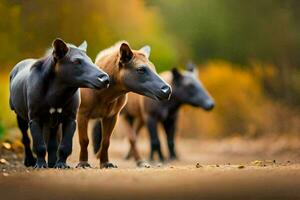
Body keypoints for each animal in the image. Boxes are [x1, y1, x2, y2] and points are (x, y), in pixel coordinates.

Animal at [9, 38, 110, 168]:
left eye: (91, 61)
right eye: (76, 61)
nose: (105, 79)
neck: (57, 93)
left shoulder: (70, 119)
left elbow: (64, 146)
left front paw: (61, 164)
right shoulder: (35, 119)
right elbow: (39, 145)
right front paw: (40, 164)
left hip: (53, 123)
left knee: (52, 143)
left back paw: (52, 163)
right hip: (20, 116)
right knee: (26, 139)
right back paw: (30, 161)